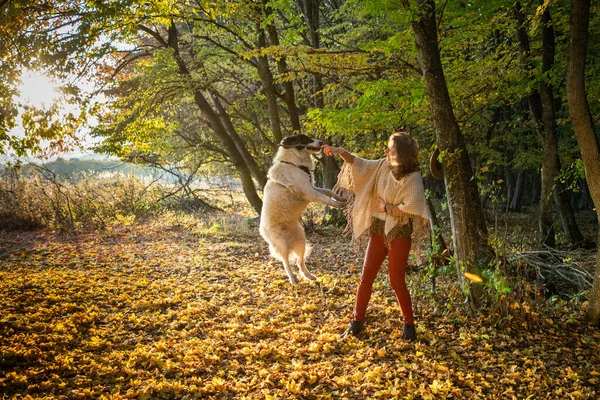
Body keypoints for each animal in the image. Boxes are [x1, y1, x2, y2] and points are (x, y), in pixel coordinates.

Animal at [258, 135, 346, 284]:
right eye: (305, 139)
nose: (321, 142)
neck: (295, 164)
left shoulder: (313, 187)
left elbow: (328, 191)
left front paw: (340, 199)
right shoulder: (309, 192)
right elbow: (325, 198)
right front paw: (337, 205)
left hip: (301, 240)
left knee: (300, 262)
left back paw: (309, 276)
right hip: (281, 244)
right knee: (285, 262)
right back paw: (292, 278)